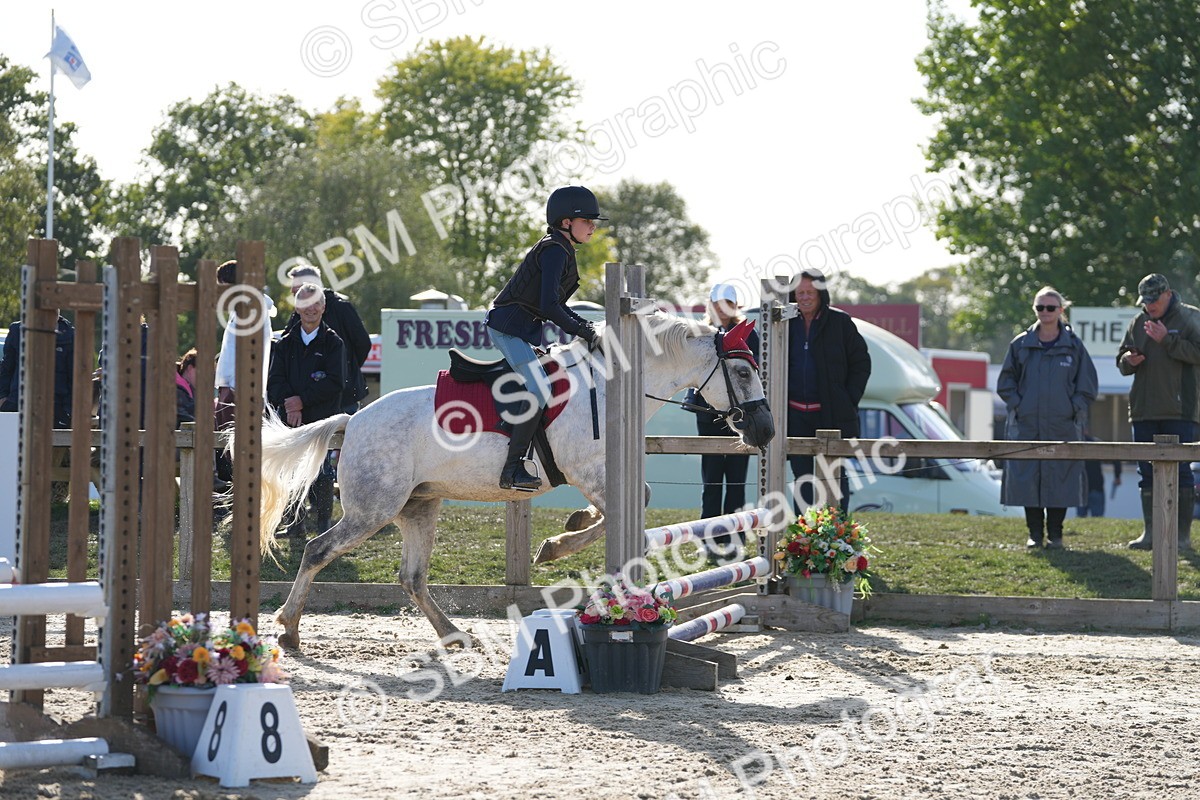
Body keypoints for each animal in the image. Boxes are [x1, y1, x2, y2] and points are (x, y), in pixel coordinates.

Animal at [253, 314, 775, 649]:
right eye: (742, 370)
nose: (766, 431)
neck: (608, 387)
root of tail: (354, 419)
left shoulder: (599, 474)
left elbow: (621, 508)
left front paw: (567, 529)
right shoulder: (589, 470)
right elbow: (629, 506)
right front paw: (556, 547)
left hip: (418, 506)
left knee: (412, 577)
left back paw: (452, 634)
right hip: (372, 509)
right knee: (317, 550)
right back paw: (289, 628)